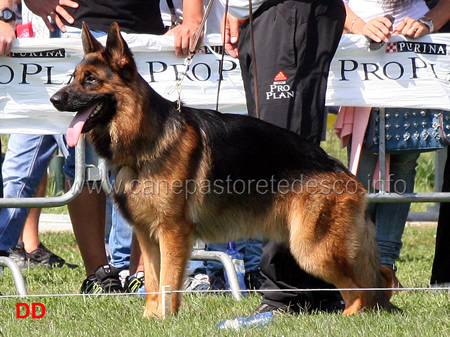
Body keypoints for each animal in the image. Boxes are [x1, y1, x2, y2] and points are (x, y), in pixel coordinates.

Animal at [51, 22, 400, 316]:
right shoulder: (148, 236)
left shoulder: (172, 233)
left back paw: (348, 317)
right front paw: (151, 320)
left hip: (313, 249)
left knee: (363, 289)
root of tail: (344, 172)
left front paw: (166, 321)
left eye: (91, 80)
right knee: (378, 278)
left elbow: (168, 283)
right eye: (72, 78)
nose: (54, 99)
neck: (146, 136)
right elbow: (152, 284)